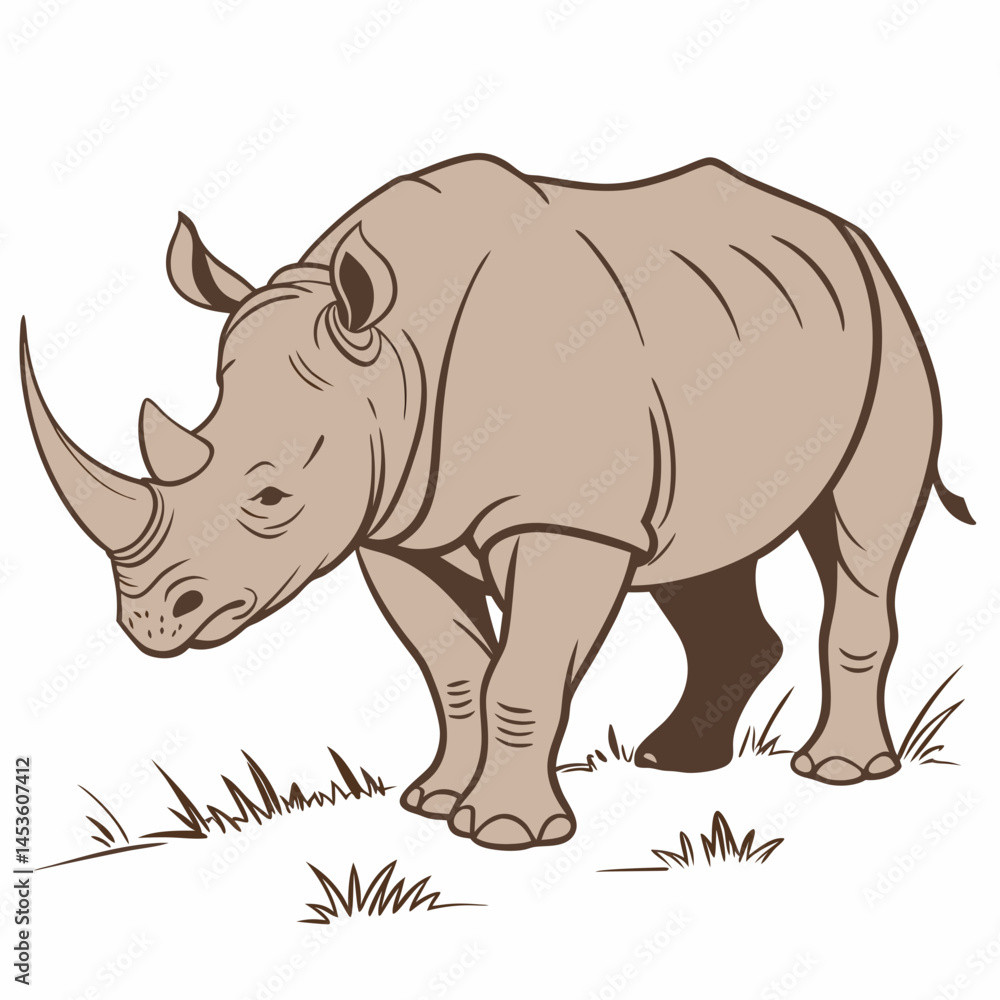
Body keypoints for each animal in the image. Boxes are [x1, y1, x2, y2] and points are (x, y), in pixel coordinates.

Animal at [22, 154, 973, 850]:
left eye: (270, 494)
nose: (148, 622)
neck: (392, 355)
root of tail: (845, 232)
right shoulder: (393, 526)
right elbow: (454, 669)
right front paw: (434, 804)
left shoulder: (567, 517)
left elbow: (525, 669)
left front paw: (507, 834)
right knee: (698, 554)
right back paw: (674, 763)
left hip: (890, 329)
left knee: (860, 536)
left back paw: (838, 774)